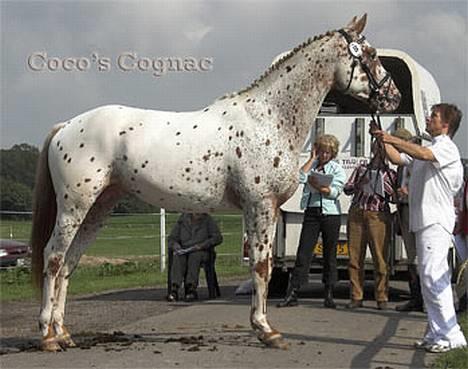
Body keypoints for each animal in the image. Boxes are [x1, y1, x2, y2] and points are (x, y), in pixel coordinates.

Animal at [31, 14, 400, 350]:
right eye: (369, 53)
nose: (392, 97)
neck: (268, 118)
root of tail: (66, 126)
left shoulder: (264, 210)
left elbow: (265, 266)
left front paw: (263, 326)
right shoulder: (260, 205)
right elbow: (262, 266)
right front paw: (266, 331)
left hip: (99, 207)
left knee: (70, 262)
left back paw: (64, 334)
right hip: (75, 207)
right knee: (54, 257)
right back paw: (48, 337)